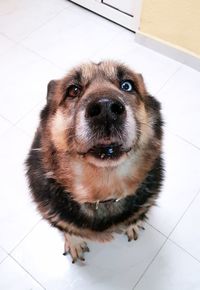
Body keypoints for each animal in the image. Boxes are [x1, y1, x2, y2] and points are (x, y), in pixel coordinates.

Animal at [25, 60, 163, 262]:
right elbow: (70, 231)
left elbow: (136, 216)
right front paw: (75, 243)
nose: (106, 109)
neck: (102, 192)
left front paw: (133, 224)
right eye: (73, 90)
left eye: (127, 85)